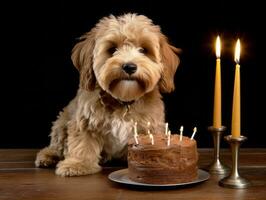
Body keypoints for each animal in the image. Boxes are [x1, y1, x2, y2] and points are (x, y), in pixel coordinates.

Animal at [35, 13, 180, 177]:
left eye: (143, 50)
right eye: (112, 49)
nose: (129, 66)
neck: (123, 101)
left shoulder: (151, 126)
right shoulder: (85, 122)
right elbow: (82, 143)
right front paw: (78, 164)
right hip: (62, 121)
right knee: (56, 144)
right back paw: (47, 156)